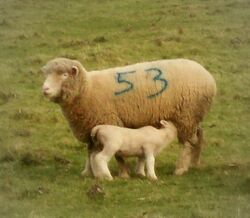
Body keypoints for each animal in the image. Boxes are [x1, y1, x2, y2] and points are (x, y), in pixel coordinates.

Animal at [41, 57, 217, 176]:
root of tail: (209, 77)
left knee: (187, 144)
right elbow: (90, 151)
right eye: (46, 75)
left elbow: (116, 154)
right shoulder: (90, 127)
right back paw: (194, 163)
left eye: (64, 75)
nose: (45, 89)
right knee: (199, 136)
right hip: (194, 116)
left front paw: (123, 173)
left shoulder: (108, 122)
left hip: (186, 116)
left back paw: (180, 168)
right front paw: (87, 172)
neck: (87, 89)